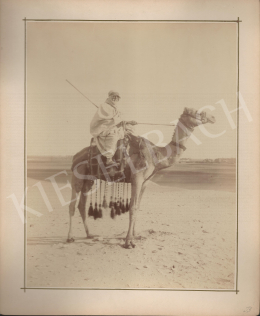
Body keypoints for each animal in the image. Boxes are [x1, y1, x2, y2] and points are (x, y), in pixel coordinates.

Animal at [67, 107, 215, 248]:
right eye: (196, 112)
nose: (213, 117)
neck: (157, 155)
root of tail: (75, 157)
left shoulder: (145, 182)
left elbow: (137, 206)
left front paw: (135, 235)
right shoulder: (136, 178)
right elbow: (132, 208)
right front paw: (128, 242)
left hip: (89, 179)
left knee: (82, 205)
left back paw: (90, 235)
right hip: (77, 175)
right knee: (72, 204)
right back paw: (70, 237)